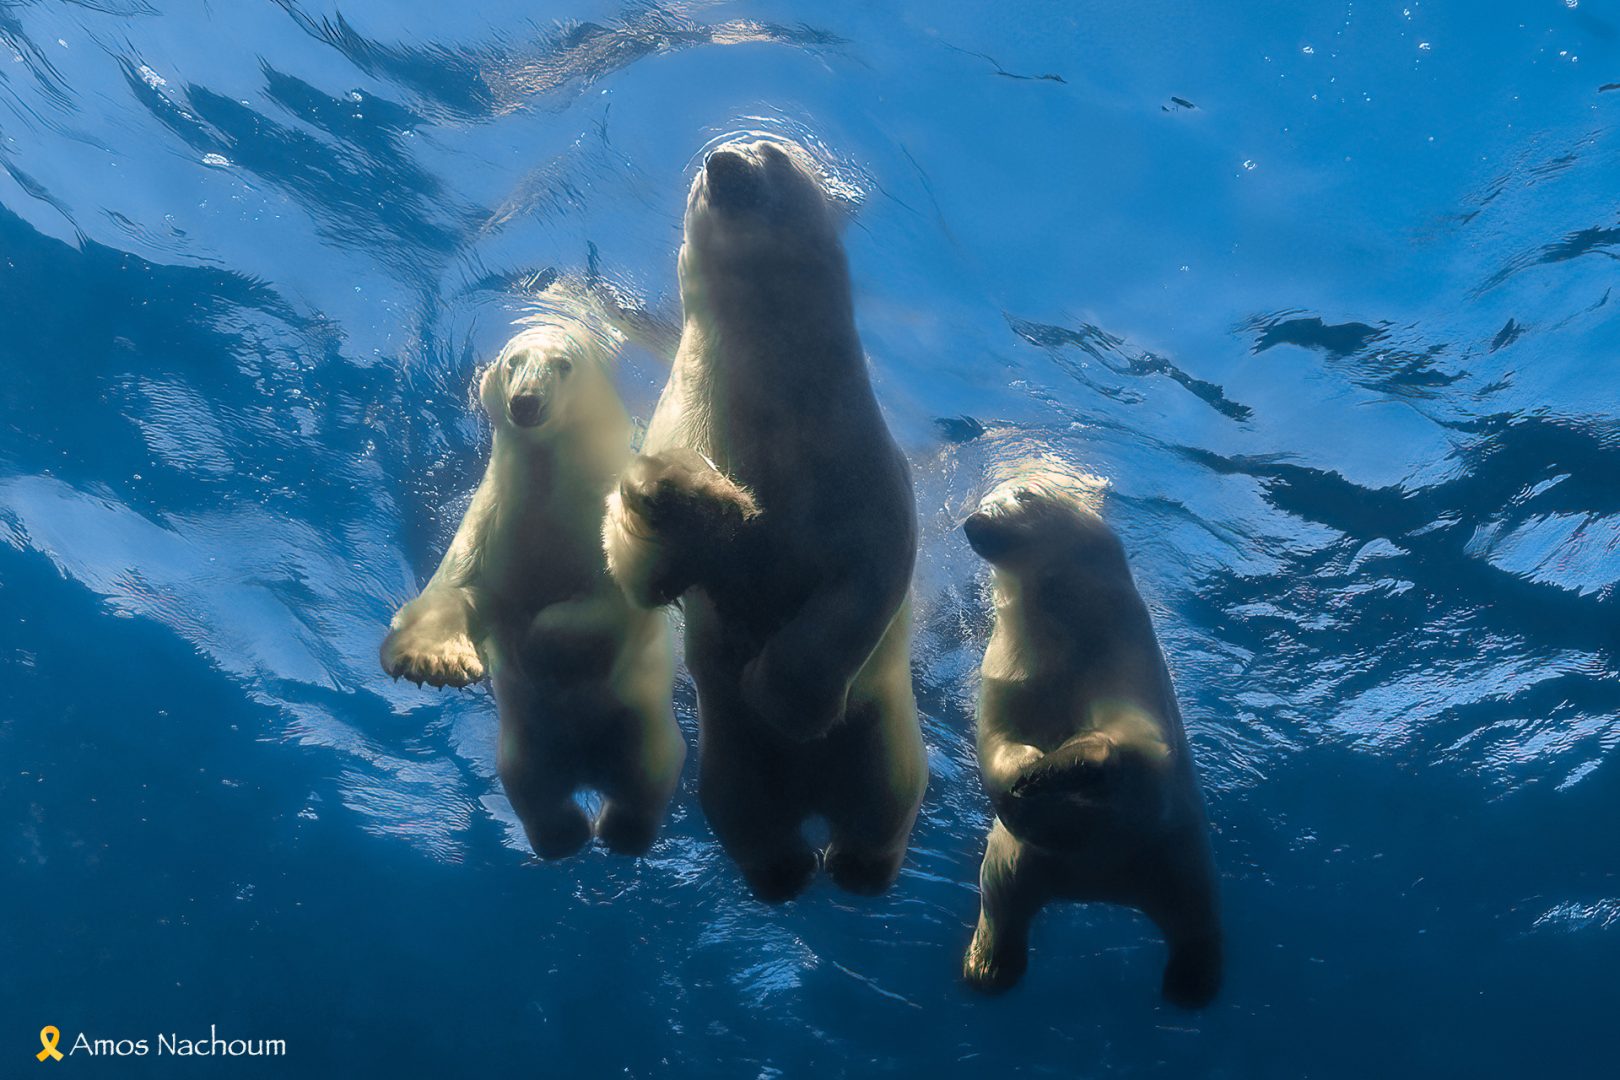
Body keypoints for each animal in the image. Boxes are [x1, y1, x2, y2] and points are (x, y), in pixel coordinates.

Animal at [380, 319, 684, 860]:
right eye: (512, 362)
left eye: (563, 364)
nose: (525, 402)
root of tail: (585, 770)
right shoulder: (496, 519)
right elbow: (460, 590)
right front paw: (435, 661)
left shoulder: (606, 521)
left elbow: (607, 605)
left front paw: (540, 643)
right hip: (524, 752)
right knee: (536, 794)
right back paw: (567, 835)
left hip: (641, 734)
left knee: (644, 785)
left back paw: (617, 833)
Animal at [603, 139, 928, 901]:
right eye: (700, 166)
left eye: (772, 151)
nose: (722, 163)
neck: (773, 412)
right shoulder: (684, 420)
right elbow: (645, 572)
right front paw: (687, 502)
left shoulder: (860, 465)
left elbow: (867, 576)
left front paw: (779, 696)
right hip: (726, 759)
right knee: (745, 812)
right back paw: (786, 866)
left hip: (883, 735)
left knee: (884, 800)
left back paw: (850, 863)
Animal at [958, 468, 1222, 1008]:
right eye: (987, 493)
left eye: (1024, 495)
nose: (975, 520)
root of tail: (1099, 885)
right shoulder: (1008, 669)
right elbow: (997, 739)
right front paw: (1025, 776)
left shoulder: (1122, 660)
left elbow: (1133, 738)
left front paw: (1055, 767)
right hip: (1017, 860)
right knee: (1000, 902)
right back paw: (986, 965)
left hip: (1176, 853)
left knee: (1195, 916)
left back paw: (1190, 983)